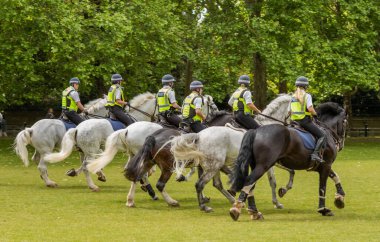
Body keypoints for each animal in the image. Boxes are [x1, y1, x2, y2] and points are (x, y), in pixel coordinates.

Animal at [123, 94, 292, 210]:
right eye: (211, 104)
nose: (295, 124)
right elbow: (273, 180)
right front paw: (278, 199)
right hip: (166, 166)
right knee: (155, 182)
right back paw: (168, 200)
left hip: (146, 160)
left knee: (137, 176)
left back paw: (133, 199)